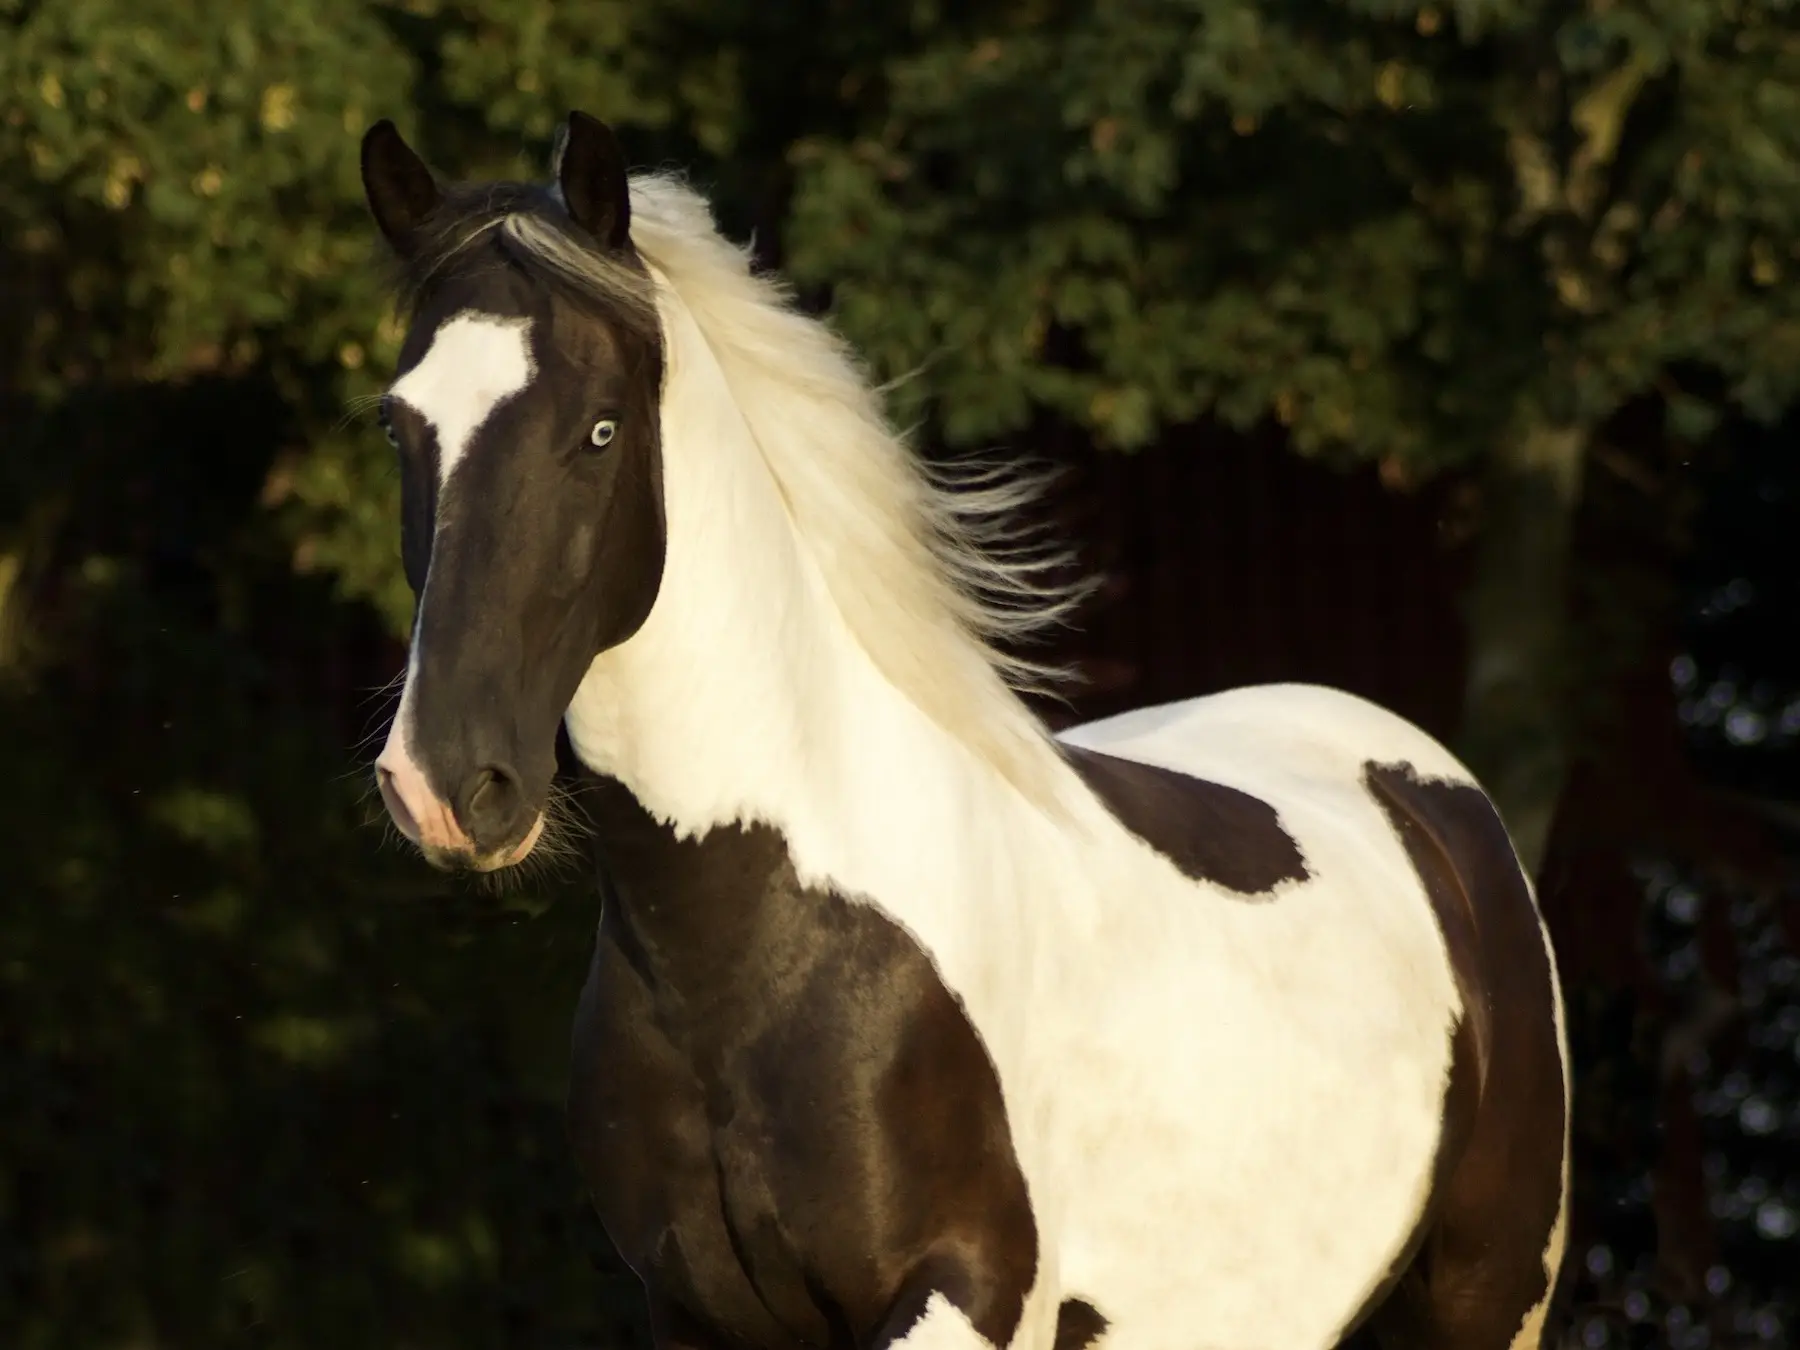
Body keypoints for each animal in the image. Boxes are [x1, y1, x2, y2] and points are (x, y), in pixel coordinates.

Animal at [358, 113, 1569, 1350]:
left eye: (600, 427)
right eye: (397, 425)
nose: (449, 786)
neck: (763, 943)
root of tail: (1431, 793)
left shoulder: (961, 1296)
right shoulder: (692, 1314)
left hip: (1487, 1301)